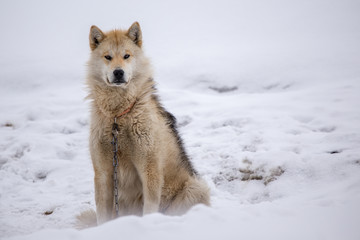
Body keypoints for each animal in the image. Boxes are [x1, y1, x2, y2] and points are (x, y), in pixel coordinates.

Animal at [86, 22, 210, 225]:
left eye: (127, 56)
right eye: (108, 57)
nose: (118, 72)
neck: (118, 117)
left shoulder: (150, 169)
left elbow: (150, 208)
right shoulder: (103, 173)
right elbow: (102, 215)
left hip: (195, 188)